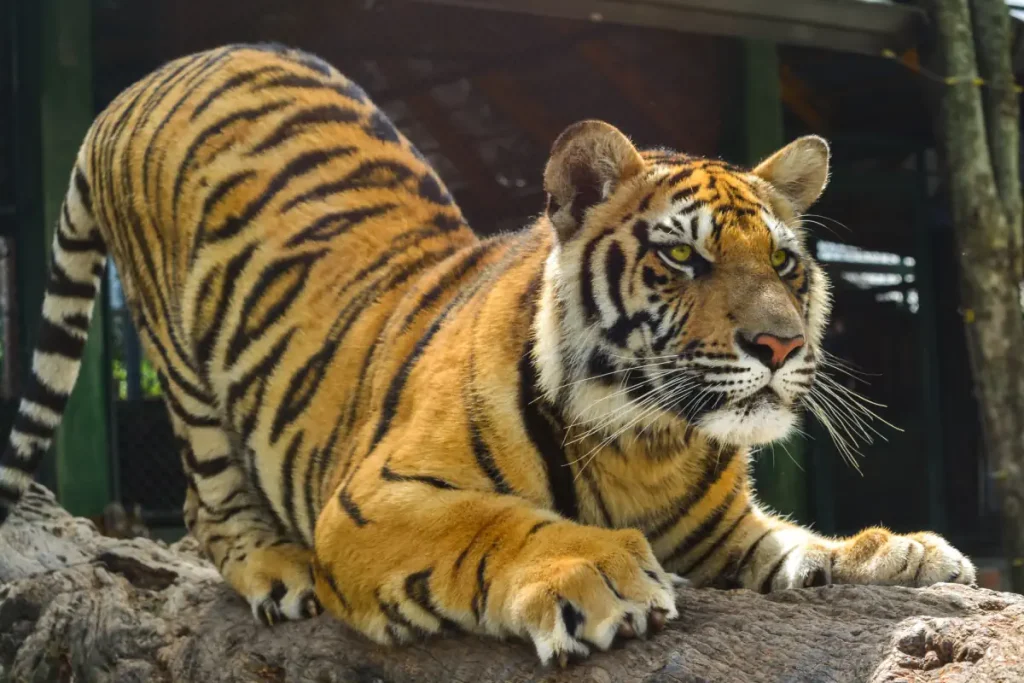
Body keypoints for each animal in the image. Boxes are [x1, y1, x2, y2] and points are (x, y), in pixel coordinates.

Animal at [0, 44, 974, 667]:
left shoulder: (724, 531)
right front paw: (594, 570)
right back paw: (276, 568)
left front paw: (907, 552)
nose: (780, 343)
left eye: (783, 261)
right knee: (209, 510)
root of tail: (139, 83)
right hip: (186, 370)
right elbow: (493, 520)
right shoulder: (372, 497)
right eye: (681, 257)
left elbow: (803, 543)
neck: (650, 442)